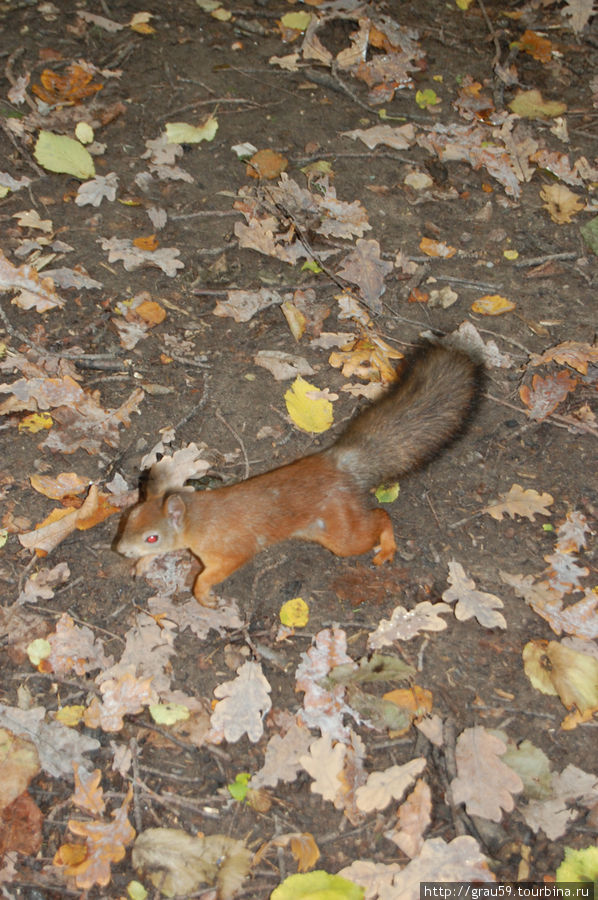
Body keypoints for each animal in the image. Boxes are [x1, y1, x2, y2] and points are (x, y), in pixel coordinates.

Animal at [118, 344, 482, 604]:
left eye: (152, 537)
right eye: (129, 518)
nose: (120, 551)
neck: (198, 519)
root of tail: (337, 464)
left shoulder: (229, 552)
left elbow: (212, 574)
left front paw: (203, 595)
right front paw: (141, 564)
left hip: (342, 535)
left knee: (380, 517)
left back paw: (387, 548)